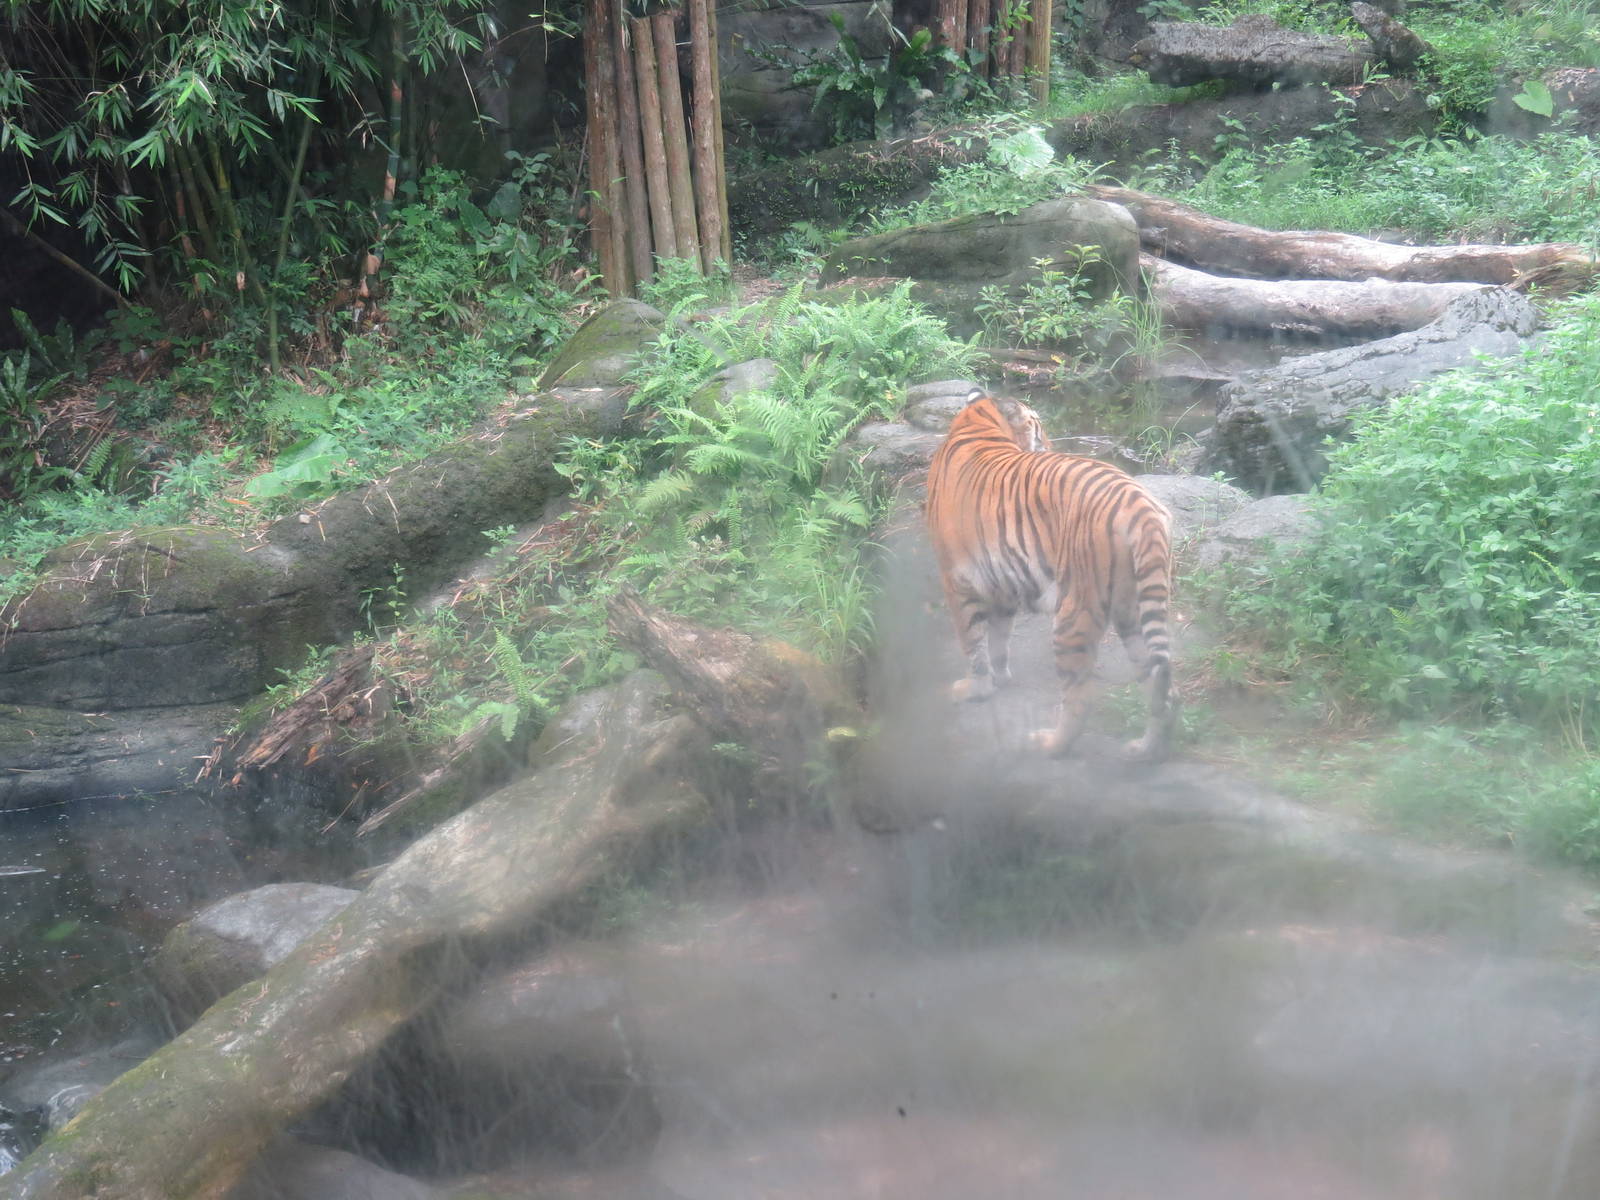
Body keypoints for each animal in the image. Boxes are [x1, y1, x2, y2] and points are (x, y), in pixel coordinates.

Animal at [924, 388, 1176, 762]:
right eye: (1038, 427)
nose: (1049, 444)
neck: (977, 423)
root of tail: (1140, 505)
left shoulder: (957, 580)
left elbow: (973, 643)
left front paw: (975, 690)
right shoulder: (999, 582)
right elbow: (997, 639)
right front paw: (1000, 679)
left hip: (1074, 613)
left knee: (1080, 699)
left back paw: (1049, 744)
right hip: (1133, 610)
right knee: (1161, 686)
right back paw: (1145, 751)